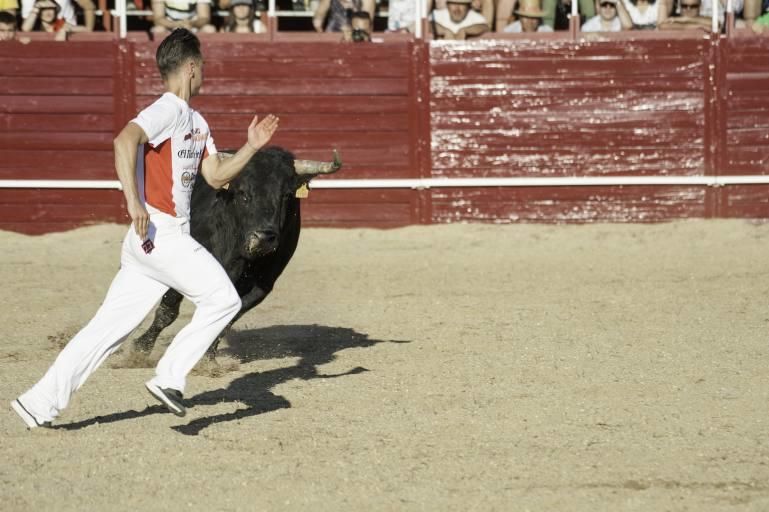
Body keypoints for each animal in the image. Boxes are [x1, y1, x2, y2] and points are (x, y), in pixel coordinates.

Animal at [130, 146, 340, 358]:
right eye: (243, 192)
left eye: (287, 195)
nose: (263, 238)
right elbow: (168, 310)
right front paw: (140, 349)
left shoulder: (262, 286)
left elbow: (228, 319)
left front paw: (208, 358)